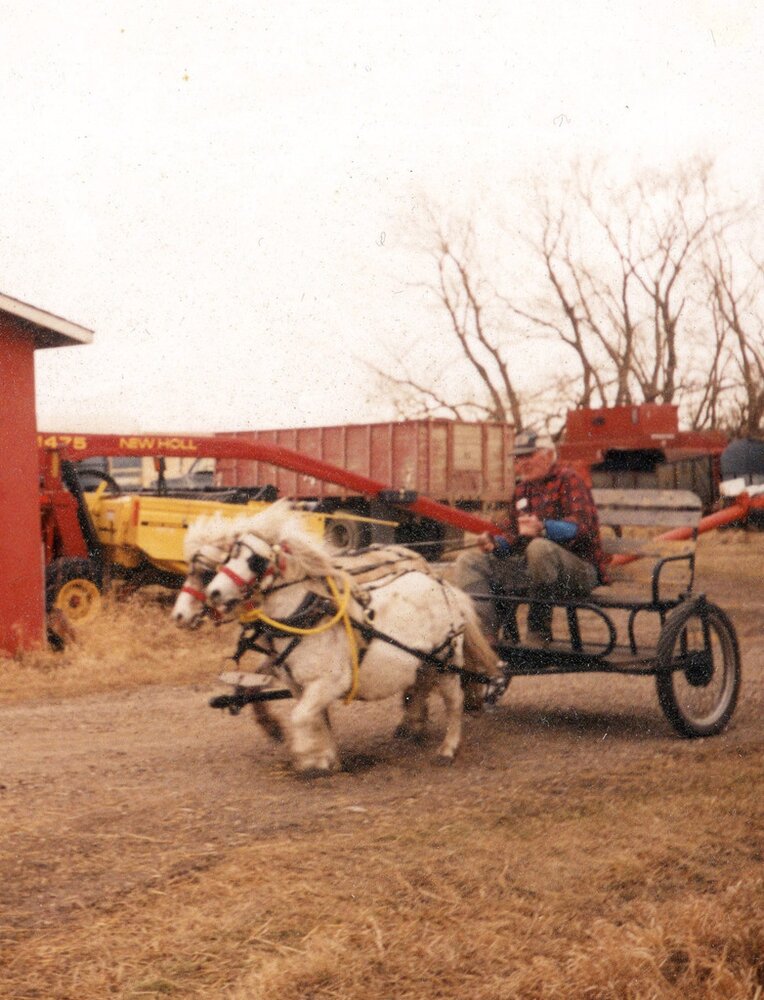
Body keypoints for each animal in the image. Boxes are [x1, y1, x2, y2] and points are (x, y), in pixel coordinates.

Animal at [206, 504, 498, 776]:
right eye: (230, 555)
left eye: (254, 560)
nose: (213, 592)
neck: (308, 618)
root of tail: (443, 585)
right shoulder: (300, 686)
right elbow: (317, 719)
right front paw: (327, 757)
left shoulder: (330, 683)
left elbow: (301, 717)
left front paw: (308, 757)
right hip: (422, 662)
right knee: (420, 687)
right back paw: (412, 727)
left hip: (446, 661)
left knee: (454, 702)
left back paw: (448, 748)